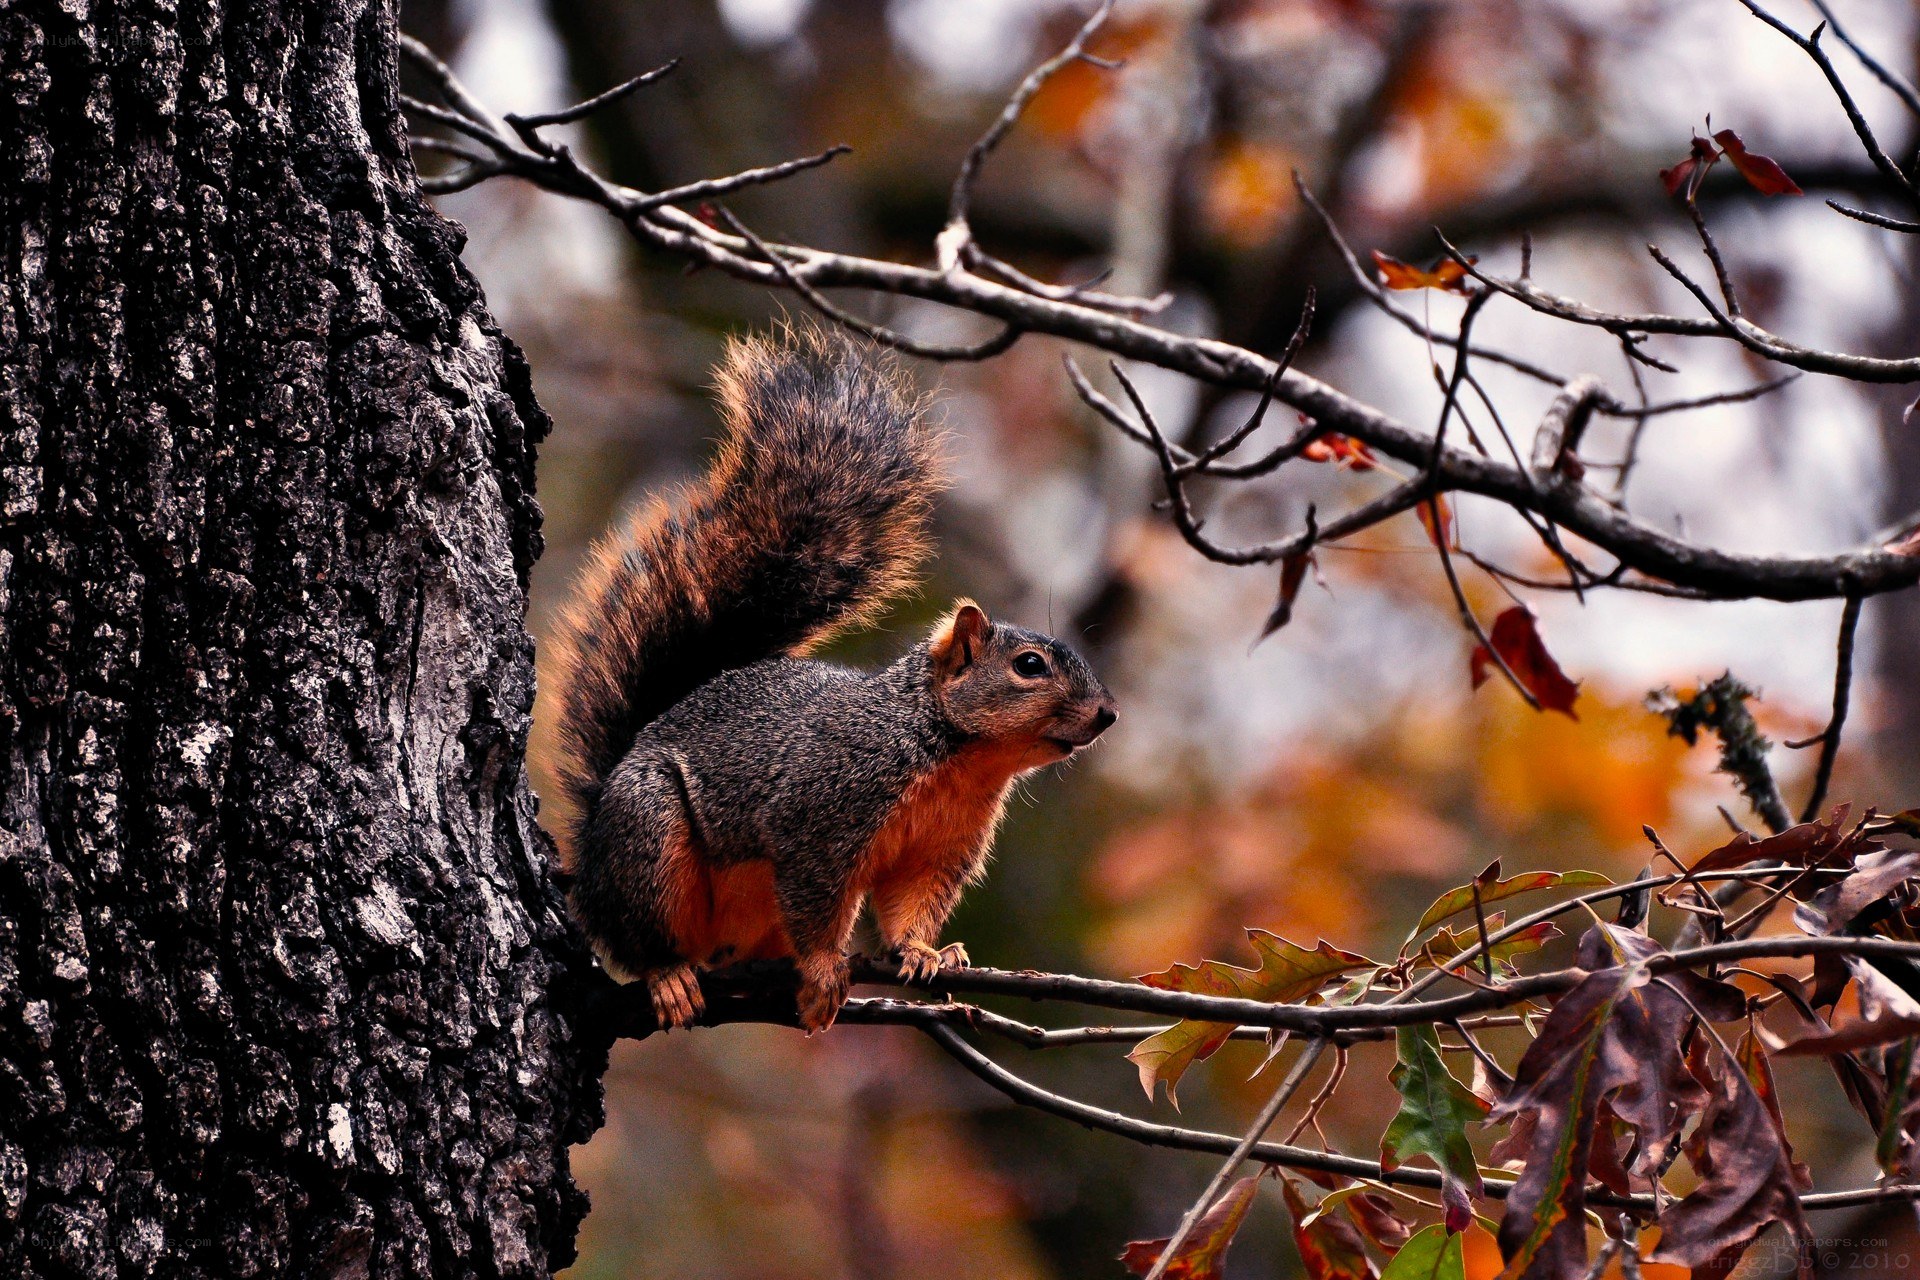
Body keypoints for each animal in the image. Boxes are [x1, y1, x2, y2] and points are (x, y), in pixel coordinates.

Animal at [549, 325, 1117, 1033]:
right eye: (1030, 666)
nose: (1107, 713)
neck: (956, 757)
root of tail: (591, 843)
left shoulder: (939, 848)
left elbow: (910, 904)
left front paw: (926, 952)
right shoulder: (822, 815)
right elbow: (817, 899)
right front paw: (823, 970)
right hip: (646, 833)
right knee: (638, 934)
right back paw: (670, 975)